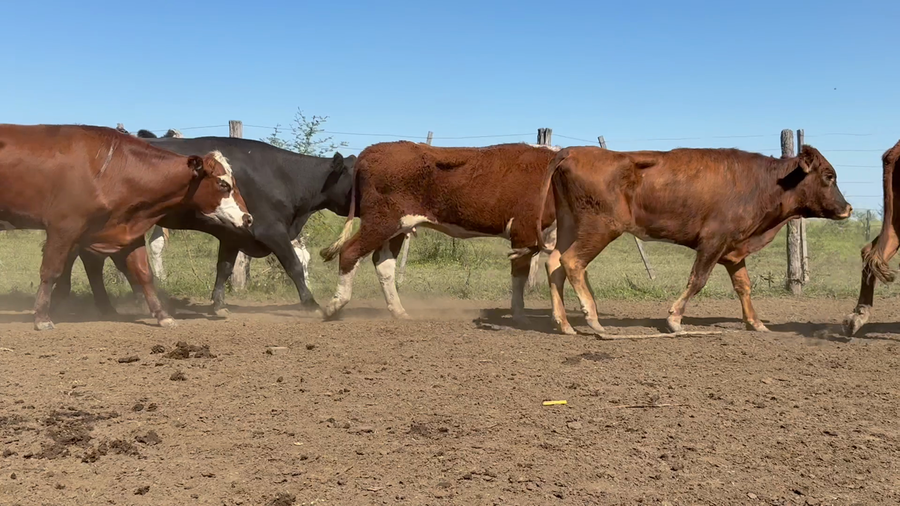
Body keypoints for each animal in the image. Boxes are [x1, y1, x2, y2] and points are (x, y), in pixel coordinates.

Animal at [0, 124, 252, 330]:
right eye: (223, 184)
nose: (248, 218)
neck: (110, 167)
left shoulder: (127, 230)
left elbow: (144, 273)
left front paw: (162, 315)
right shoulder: (63, 228)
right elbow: (50, 271)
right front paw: (42, 317)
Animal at [54, 130, 357, 317]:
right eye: (357, 175)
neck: (283, 176)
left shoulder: (234, 234)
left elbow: (224, 268)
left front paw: (219, 304)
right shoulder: (270, 230)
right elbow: (293, 265)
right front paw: (311, 303)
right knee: (90, 257)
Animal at [319, 140, 560, 322]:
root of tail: (372, 149)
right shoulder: (524, 232)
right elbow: (519, 276)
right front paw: (520, 316)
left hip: (398, 226)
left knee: (384, 264)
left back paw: (399, 311)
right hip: (381, 221)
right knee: (350, 252)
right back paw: (334, 306)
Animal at [519, 144, 852, 336]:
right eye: (829, 176)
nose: (848, 208)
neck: (762, 183)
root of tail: (574, 150)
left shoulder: (733, 249)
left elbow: (743, 286)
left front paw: (756, 322)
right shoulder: (713, 242)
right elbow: (697, 280)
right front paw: (674, 319)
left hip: (570, 225)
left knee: (554, 263)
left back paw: (563, 323)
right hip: (599, 228)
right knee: (572, 262)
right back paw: (592, 318)